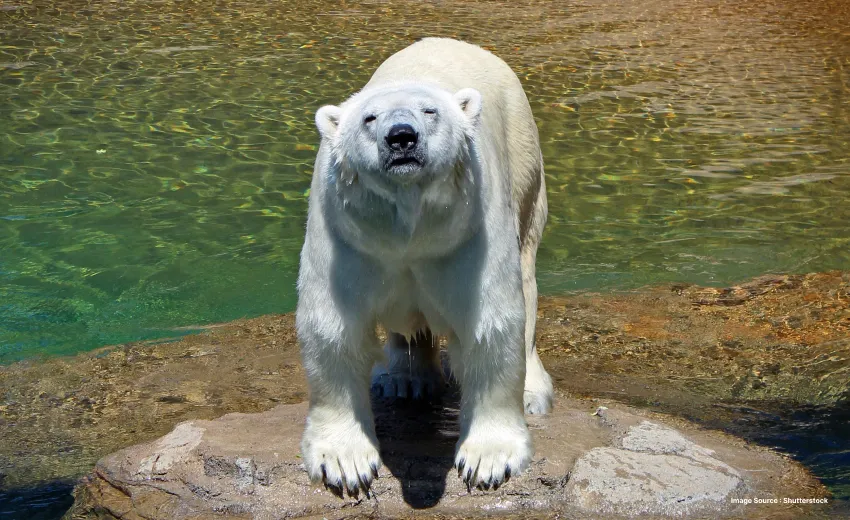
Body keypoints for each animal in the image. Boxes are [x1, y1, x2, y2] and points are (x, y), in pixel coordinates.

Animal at [296, 37, 554, 496]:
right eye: (369, 117)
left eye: (430, 111)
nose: (401, 137)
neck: (410, 225)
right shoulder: (345, 233)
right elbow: (334, 329)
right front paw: (345, 463)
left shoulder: (470, 229)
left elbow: (490, 323)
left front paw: (488, 460)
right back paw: (405, 378)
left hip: (524, 161)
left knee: (525, 273)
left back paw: (531, 390)